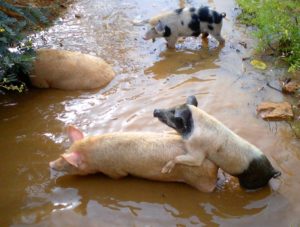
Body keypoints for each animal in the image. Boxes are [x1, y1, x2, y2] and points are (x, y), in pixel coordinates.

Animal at [48, 125, 218, 192]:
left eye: (68, 164)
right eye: (66, 150)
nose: (50, 163)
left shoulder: (114, 171)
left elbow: (119, 177)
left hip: (201, 182)